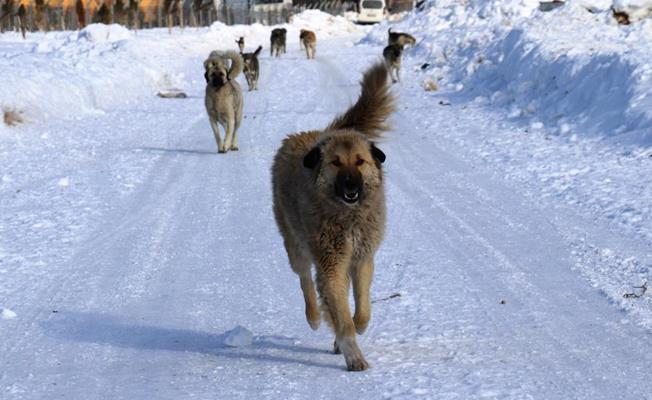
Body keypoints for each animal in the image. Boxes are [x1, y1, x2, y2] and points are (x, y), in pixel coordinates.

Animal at [272, 63, 394, 372]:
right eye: (335, 163)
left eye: (360, 162)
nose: (351, 186)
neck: (347, 215)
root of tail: (308, 135)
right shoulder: (331, 264)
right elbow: (342, 315)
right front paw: (354, 355)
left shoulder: (361, 258)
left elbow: (361, 310)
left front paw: (355, 327)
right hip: (296, 243)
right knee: (305, 279)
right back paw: (314, 316)